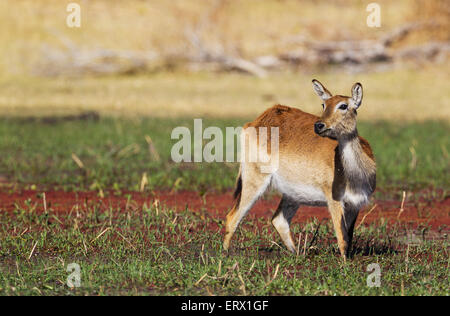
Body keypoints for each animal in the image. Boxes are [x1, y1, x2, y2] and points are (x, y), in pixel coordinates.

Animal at [224, 79, 376, 260]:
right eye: (324, 104)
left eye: (343, 105)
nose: (319, 125)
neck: (356, 175)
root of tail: (255, 122)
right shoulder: (334, 200)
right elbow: (341, 236)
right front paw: (345, 264)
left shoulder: (355, 204)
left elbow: (349, 237)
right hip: (254, 180)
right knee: (232, 217)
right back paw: (224, 254)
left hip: (292, 194)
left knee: (278, 220)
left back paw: (298, 255)